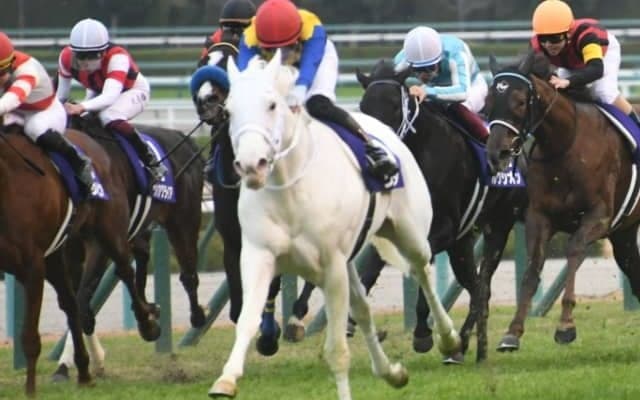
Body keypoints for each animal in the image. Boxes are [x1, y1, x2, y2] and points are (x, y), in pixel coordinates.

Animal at [0, 125, 159, 395]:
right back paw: (84, 370)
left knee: (124, 269)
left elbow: (30, 337)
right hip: (56, 254)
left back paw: (147, 324)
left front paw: (30, 391)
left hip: (108, 230)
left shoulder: (32, 266)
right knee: (71, 303)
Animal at [51, 114, 206, 379]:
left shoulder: (100, 242)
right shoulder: (71, 249)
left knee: (188, 274)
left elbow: (83, 299)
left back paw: (196, 316)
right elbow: (78, 303)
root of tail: (183, 138)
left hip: (184, 220)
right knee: (141, 257)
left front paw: (148, 325)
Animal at [207, 52, 461, 399]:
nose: (250, 165)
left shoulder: (332, 265)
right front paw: (226, 379)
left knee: (421, 271)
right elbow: (247, 317)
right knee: (364, 309)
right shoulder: (258, 254)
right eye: (229, 111)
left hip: (410, 234)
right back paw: (391, 372)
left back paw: (447, 338)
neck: (291, 189)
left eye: (271, 105)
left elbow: (337, 350)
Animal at [355, 59, 528, 362]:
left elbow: (421, 266)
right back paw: (468, 345)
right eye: (364, 108)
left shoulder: (444, 230)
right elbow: (371, 268)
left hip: (498, 226)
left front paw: (423, 333)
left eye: (394, 107)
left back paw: (466, 345)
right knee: (476, 286)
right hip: (463, 242)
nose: (374, 155)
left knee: (482, 287)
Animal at [485, 50, 640, 352]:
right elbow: (532, 269)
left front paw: (566, 325)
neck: (565, 143)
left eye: (520, 101)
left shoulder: (598, 216)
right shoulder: (539, 217)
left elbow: (574, 251)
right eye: (488, 102)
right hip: (625, 234)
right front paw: (512, 332)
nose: (497, 153)